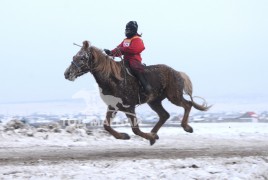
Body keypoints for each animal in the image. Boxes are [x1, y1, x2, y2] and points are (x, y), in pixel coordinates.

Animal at [63, 40, 210, 145]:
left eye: (82, 58)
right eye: (74, 56)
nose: (67, 74)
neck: (114, 79)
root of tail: (177, 73)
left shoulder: (129, 107)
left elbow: (135, 129)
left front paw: (147, 137)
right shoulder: (113, 106)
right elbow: (106, 126)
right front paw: (124, 136)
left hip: (174, 96)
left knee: (187, 105)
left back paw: (186, 127)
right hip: (154, 101)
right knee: (164, 115)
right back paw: (154, 134)